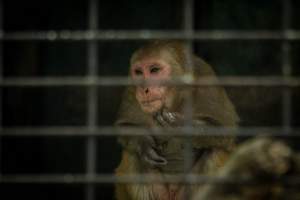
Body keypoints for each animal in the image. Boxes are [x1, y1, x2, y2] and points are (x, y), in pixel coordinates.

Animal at [114, 40, 239, 200]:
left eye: (154, 70)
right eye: (138, 72)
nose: (144, 89)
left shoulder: (205, 77)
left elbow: (225, 129)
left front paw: (179, 125)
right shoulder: (131, 88)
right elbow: (125, 126)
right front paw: (144, 144)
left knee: (215, 150)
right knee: (132, 153)